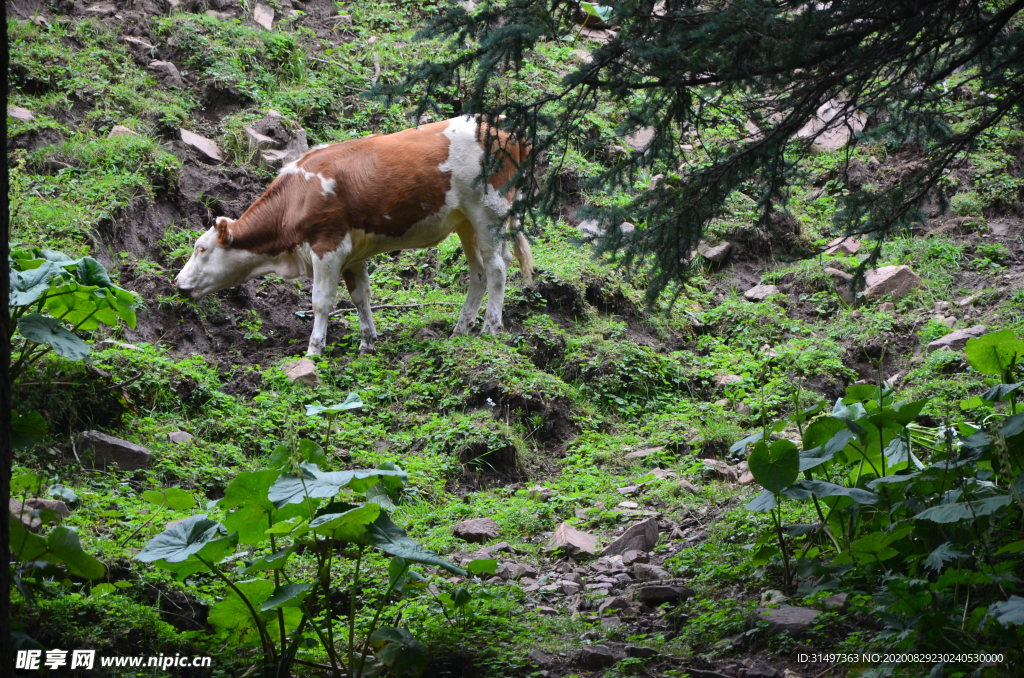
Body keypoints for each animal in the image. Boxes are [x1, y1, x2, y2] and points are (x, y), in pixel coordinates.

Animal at [174, 116, 536, 356]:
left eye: (201, 249)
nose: (177, 283)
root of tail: (505, 131)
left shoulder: (328, 245)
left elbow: (321, 302)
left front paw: (313, 352)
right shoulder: (352, 255)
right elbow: (361, 297)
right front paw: (367, 343)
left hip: (487, 210)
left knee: (497, 269)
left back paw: (489, 328)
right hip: (466, 220)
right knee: (479, 272)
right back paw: (460, 330)